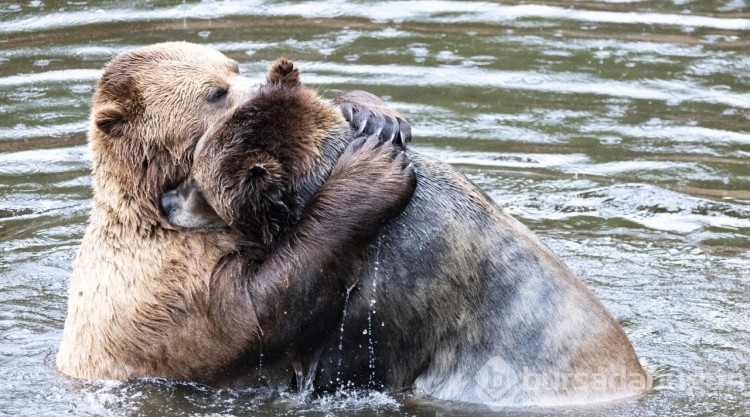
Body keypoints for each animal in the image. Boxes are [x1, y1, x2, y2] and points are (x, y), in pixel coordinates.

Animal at [57, 42, 418, 384]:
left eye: (234, 66)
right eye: (216, 92)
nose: (261, 86)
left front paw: (375, 115)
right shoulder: (170, 286)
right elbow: (261, 315)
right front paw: (371, 173)